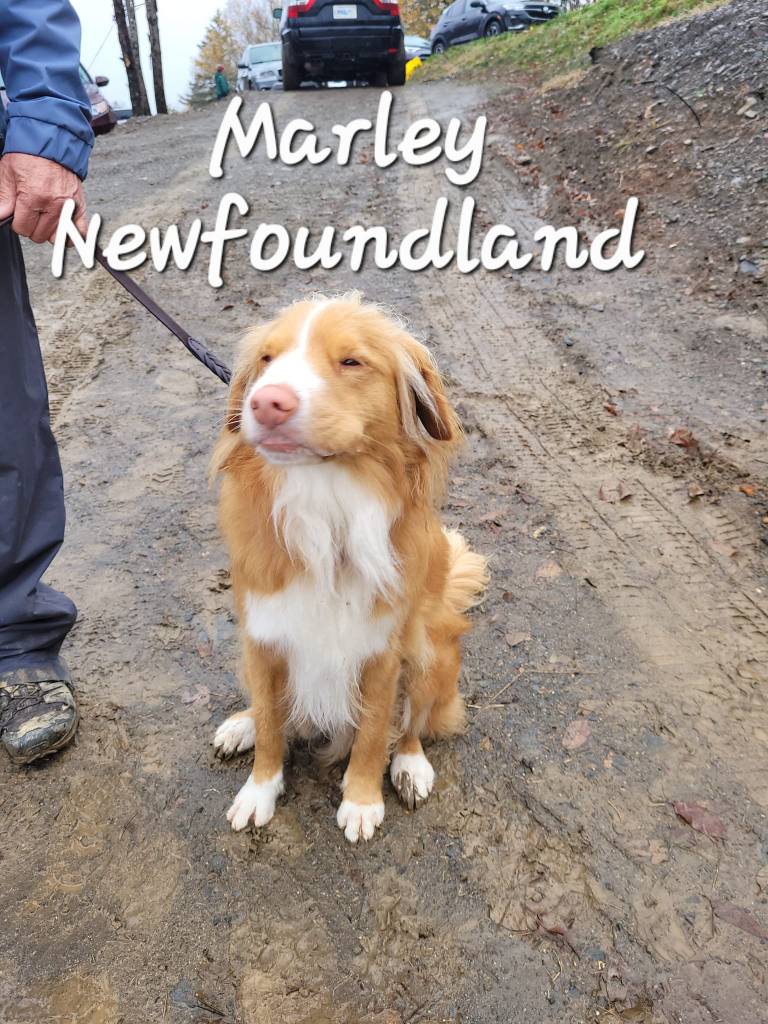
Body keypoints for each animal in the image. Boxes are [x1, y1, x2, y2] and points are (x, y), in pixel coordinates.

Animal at [211, 293, 487, 842]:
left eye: (352, 362)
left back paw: (410, 766)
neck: (325, 502)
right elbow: (272, 725)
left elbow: (375, 731)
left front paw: (361, 800)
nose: (265, 403)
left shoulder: (382, 650)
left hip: (431, 647)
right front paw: (260, 789)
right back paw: (242, 723)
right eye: (267, 360)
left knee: (414, 724)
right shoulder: (264, 636)